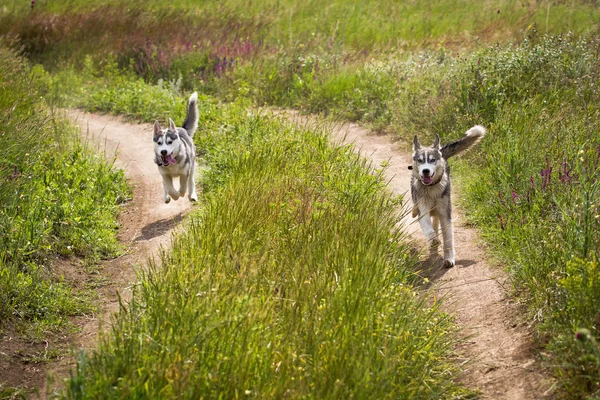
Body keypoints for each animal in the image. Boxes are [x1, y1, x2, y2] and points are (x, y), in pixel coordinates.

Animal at [410, 126, 486, 268]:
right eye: (420, 160)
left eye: (432, 160)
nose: (425, 171)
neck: (431, 189)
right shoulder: (423, 209)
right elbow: (428, 227)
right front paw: (433, 238)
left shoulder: (445, 214)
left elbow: (448, 239)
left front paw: (449, 258)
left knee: (436, 220)